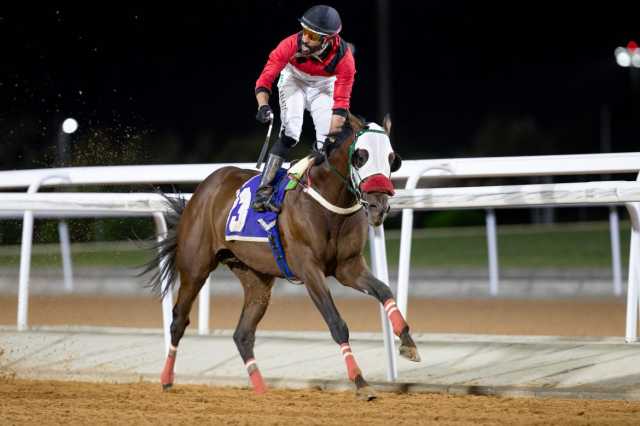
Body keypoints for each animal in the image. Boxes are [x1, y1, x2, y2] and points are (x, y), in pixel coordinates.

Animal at [148, 112, 422, 400]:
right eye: (361, 156)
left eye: (392, 158)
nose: (379, 207)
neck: (328, 203)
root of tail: (204, 188)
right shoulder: (309, 269)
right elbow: (337, 323)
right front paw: (360, 382)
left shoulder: (349, 268)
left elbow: (384, 291)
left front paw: (408, 343)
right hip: (195, 267)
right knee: (179, 320)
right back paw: (166, 379)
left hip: (256, 278)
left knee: (242, 334)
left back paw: (261, 389)